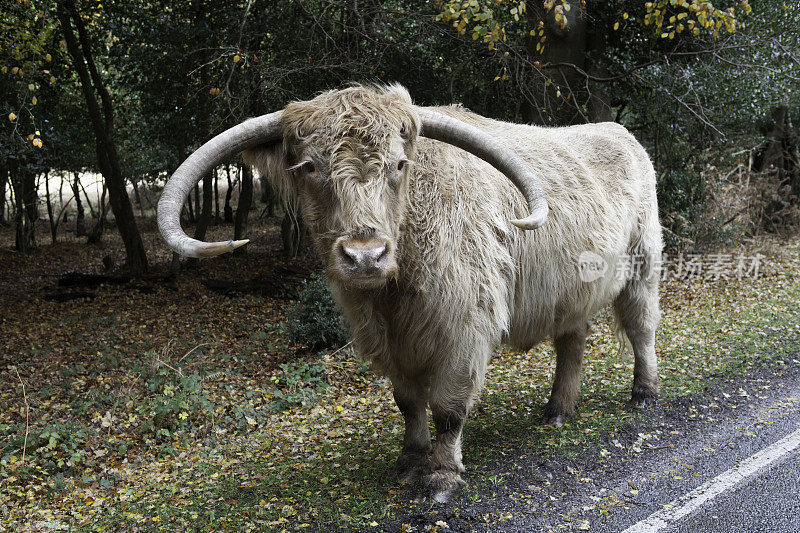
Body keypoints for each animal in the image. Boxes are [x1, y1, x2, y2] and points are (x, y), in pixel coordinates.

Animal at [158, 85, 664, 500]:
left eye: (399, 165)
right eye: (309, 167)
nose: (365, 256)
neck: (396, 291)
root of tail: (620, 133)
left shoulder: (465, 329)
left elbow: (448, 408)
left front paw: (441, 476)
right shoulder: (388, 340)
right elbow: (407, 403)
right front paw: (410, 461)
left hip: (643, 266)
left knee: (641, 329)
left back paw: (643, 393)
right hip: (570, 292)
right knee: (571, 341)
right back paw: (558, 409)